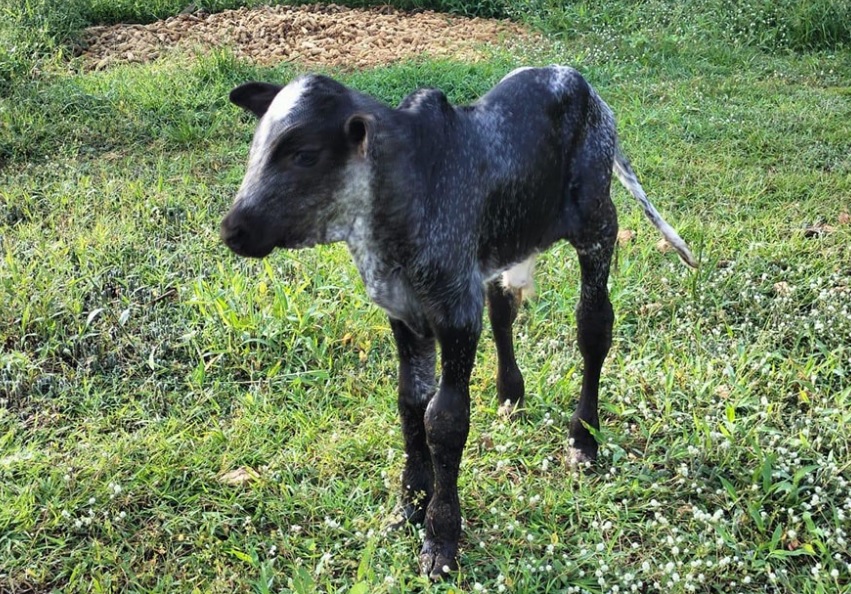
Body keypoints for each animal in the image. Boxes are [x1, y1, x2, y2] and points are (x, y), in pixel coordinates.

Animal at [221, 65, 700, 580]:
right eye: (256, 148)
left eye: (304, 155)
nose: (233, 229)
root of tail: (576, 79)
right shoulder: (406, 314)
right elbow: (410, 402)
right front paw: (410, 504)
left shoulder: (456, 315)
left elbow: (445, 420)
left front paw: (440, 539)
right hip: (512, 238)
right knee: (504, 304)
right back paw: (511, 394)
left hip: (598, 222)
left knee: (593, 326)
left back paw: (583, 439)